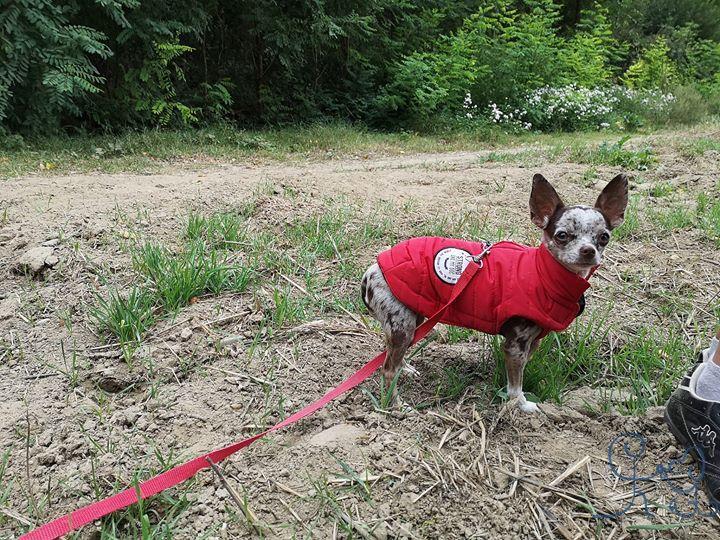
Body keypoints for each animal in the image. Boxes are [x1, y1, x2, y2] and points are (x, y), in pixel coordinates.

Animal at [362, 175, 628, 412]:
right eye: (561, 235)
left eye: (604, 237)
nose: (588, 250)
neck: (544, 274)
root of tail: (372, 271)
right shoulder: (515, 344)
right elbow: (515, 385)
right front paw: (520, 405)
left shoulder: (532, 342)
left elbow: (520, 372)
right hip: (402, 325)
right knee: (388, 369)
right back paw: (396, 405)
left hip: (413, 317)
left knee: (392, 354)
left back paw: (405, 368)